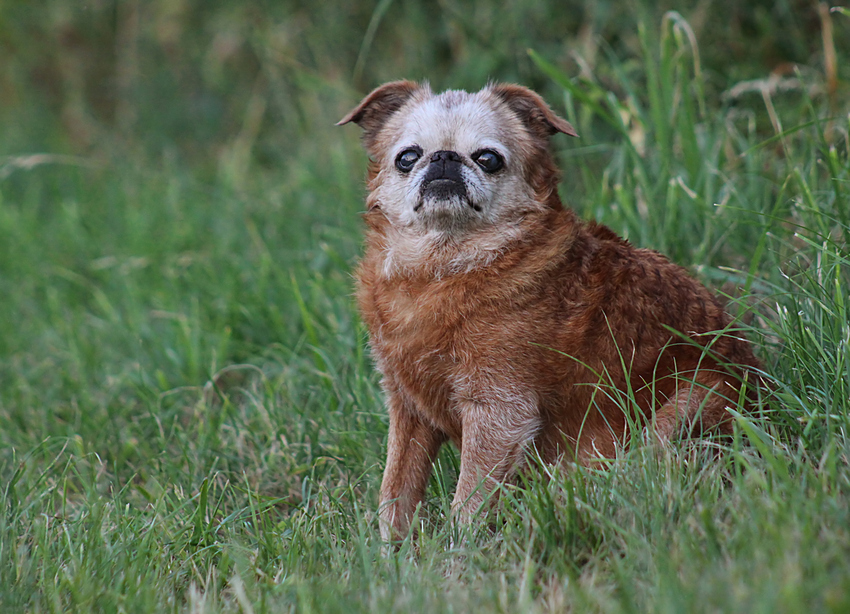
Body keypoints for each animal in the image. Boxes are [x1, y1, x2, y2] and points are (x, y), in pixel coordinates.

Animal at [334, 82, 760, 544]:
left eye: (489, 158)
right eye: (407, 157)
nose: (444, 157)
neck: (443, 269)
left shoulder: (499, 412)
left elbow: (470, 499)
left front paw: (459, 551)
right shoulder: (407, 411)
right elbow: (397, 490)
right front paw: (390, 551)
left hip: (694, 403)